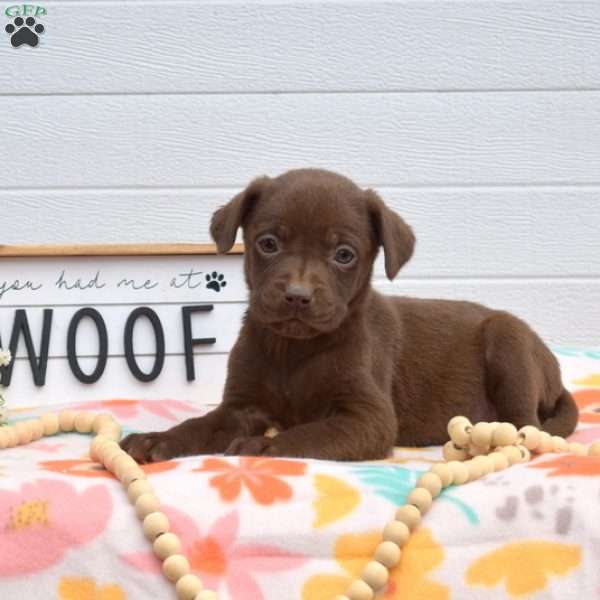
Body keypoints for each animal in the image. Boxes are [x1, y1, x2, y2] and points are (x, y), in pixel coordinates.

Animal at [120, 169, 576, 464]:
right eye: (268, 243)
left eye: (343, 254)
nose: (297, 296)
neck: (293, 349)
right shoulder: (241, 406)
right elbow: (200, 425)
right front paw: (158, 438)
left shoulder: (368, 417)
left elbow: (309, 432)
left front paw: (264, 446)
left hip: (507, 339)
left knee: (525, 427)